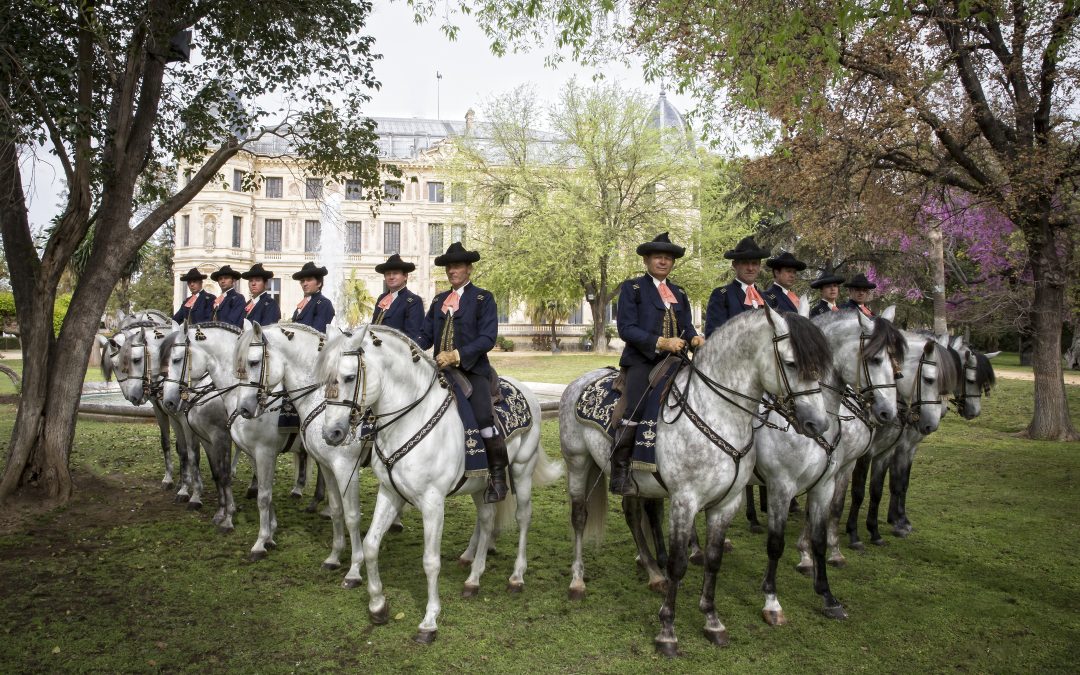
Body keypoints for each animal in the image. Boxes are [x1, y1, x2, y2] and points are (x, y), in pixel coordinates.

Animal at [157, 324, 308, 557]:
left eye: (176, 359)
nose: (168, 401)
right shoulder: (226, 444)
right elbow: (227, 477)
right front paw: (268, 533)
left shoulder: (237, 443)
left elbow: (232, 479)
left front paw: (230, 521)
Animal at [315, 324, 561, 643]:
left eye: (348, 377)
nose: (330, 433)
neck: (408, 419)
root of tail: (527, 391)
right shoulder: (389, 492)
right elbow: (370, 545)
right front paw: (378, 605)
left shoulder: (433, 503)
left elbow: (430, 561)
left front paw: (429, 621)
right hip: (481, 486)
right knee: (486, 519)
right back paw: (473, 578)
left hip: (521, 470)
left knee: (522, 517)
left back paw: (517, 576)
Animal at [561, 304, 829, 652]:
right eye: (792, 362)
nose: (818, 424)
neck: (718, 412)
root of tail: (577, 382)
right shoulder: (684, 500)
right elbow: (678, 563)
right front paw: (667, 630)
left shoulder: (726, 503)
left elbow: (714, 560)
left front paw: (712, 620)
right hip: (578, 463)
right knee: (580, 517)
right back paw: (578, 580)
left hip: (634, 483)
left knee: (633, 516)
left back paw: (653, 573)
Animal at [751, 304, 911, 622]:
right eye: (875, 359)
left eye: (896, 359)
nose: (889, 413)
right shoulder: (780, 487)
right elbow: (776, 544)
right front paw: (771, 601)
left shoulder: (826, 480)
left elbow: (820, 534)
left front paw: (826, 594)